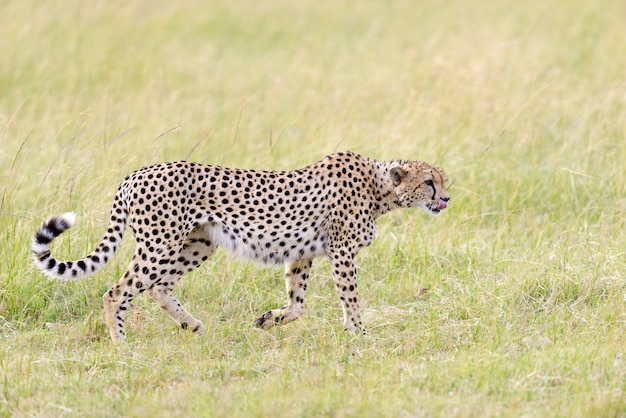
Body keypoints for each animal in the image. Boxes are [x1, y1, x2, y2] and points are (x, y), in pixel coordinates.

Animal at [31, 152, 448, 342]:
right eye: (429, 182)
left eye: (443, 181)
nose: (445, 200)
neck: (381, 189)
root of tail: (136, 173)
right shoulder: (341, 252)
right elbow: (350, 297)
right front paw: (359, 332)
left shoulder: (302, 254)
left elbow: (298, 304)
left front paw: (269, 319)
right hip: (161, 243)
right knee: (117, 291)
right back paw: (120, 343)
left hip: (198, 243)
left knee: (159, 287)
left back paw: (192, 324)